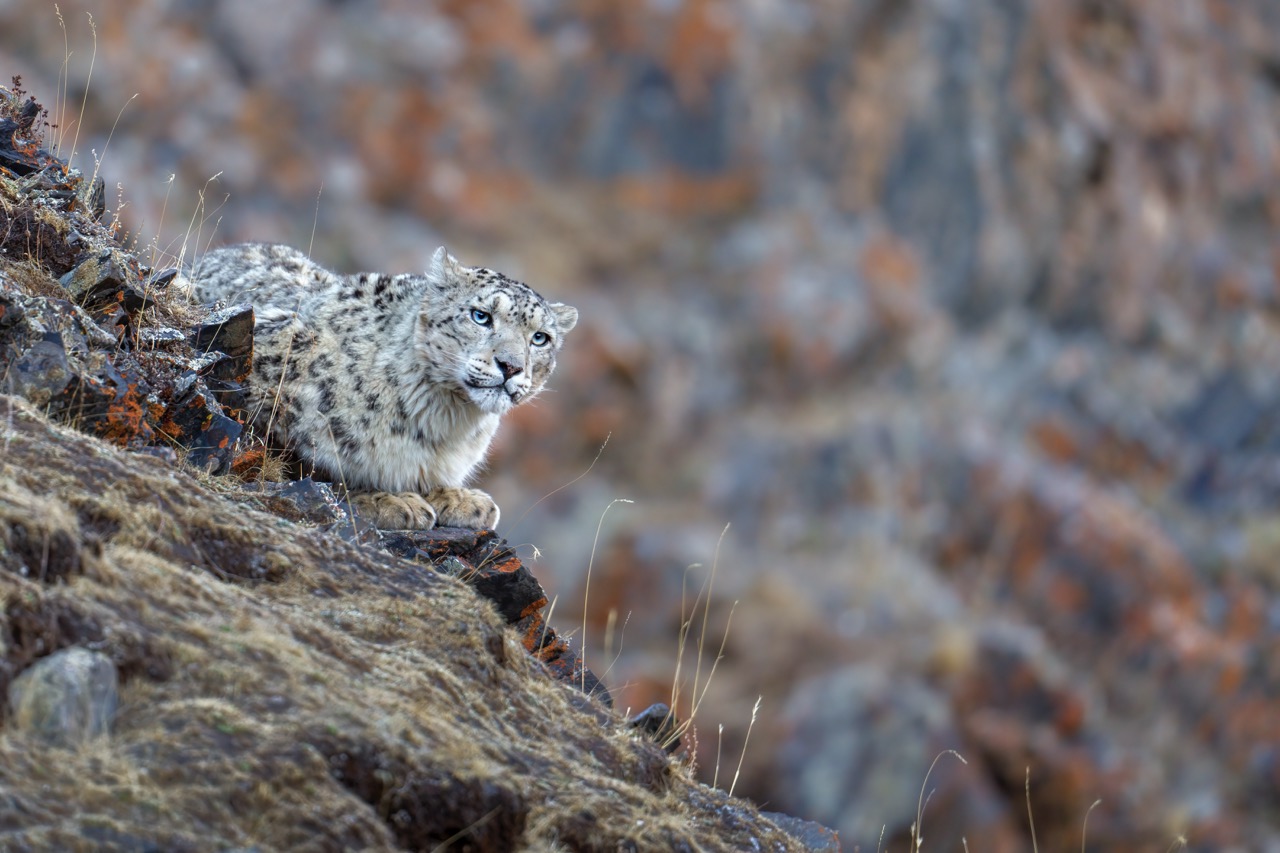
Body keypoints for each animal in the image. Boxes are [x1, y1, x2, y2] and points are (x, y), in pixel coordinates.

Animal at [189, 242, 577, 531]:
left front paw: (460, 499)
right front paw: (389, 500)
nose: (511, 366)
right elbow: (305, 463)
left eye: (540, 338)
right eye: (480, 315)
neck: (444, 422)